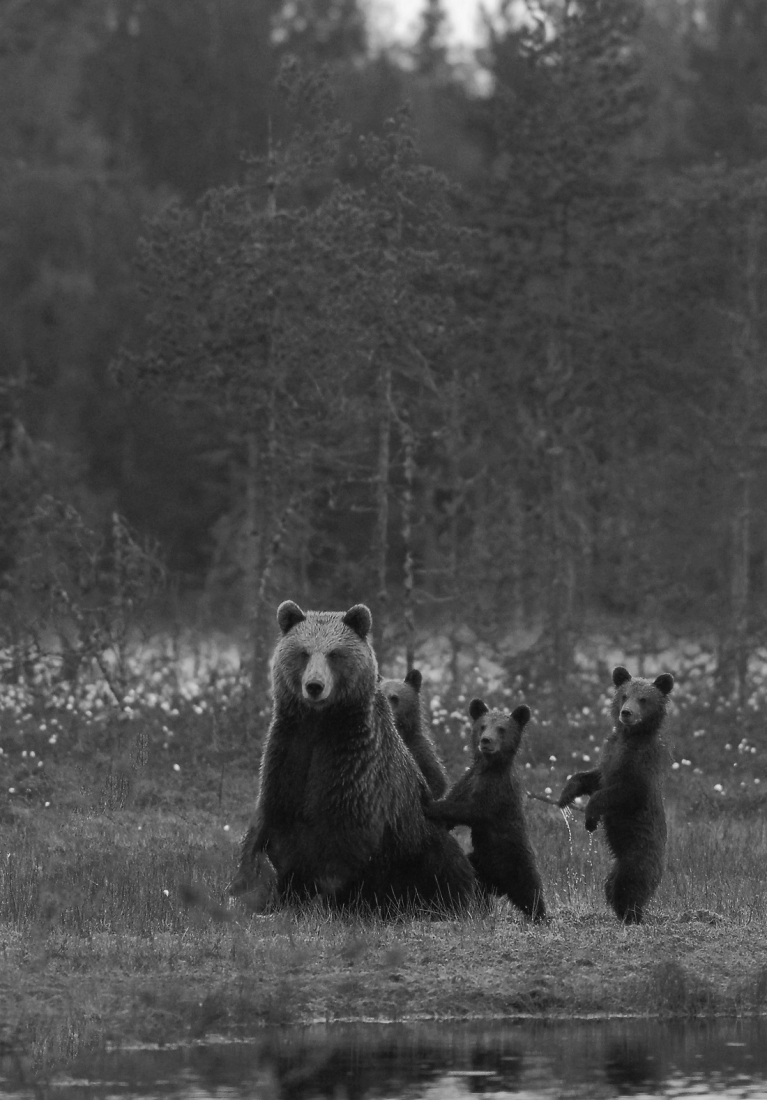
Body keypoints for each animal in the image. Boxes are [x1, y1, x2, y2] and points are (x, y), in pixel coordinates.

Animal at [424, 698, 546, 921]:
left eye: (502, 729)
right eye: (482, 726)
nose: (486, 741)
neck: (488, 768)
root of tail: (499, 887)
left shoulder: (496, 794)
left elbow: (471, 811)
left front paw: (430, 804)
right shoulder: (467, 781)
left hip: (515, 860)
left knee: (530, 891)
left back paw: (539, 916)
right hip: (480, 862)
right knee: (479, 887)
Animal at [557, 665, 674, 924]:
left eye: (643, 699)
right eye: (624, 695)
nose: (626, 713)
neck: (629, 737)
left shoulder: (639, 767)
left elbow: (620, 792)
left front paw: (590, 818)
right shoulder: (609, 755)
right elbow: (592, 777)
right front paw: (566, 795)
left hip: (638, 854)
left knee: (629, 884)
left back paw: (633, 915)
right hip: (619, 861)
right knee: (611, 885)